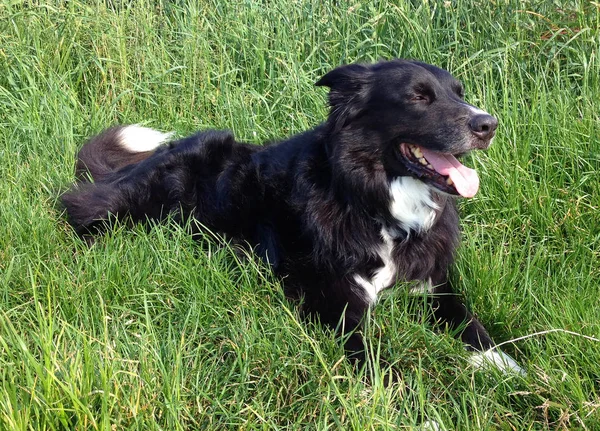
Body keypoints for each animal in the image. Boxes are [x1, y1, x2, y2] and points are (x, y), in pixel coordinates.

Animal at [59, 59, 524, 376]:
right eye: (418, 97)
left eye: (459, 93)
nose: (489, 124)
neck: (370, 201)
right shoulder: (331, 296)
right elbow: (372, 357)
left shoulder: (432, 284)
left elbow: (470, 323)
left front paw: (507, 366)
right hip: (136, 199)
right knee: (77, 207)